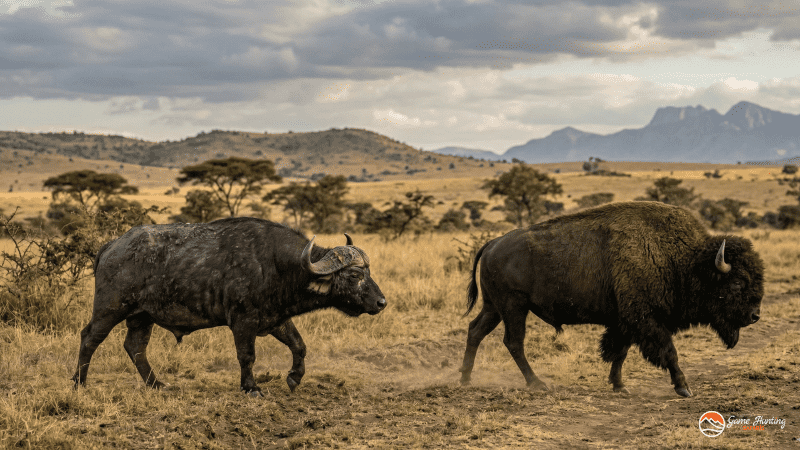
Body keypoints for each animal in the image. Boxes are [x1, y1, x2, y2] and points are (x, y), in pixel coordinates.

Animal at [73, 217, 386, 395]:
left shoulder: (276, 319)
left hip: (142, 316)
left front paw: (294, 378)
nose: (381, 302)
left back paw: (156, 384)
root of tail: (111, 245)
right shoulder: (243, 322)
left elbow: (299, 345)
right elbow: (247, 356)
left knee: (135, 347)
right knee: (89, 338)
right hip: (110, 309)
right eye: (355, 275)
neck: (278, 265)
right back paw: (79, 383)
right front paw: (251, 387)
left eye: (369, 272)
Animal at [459, 201, 764, 397]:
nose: (754, 316)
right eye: (738, 281)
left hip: (494, 308)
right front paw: (684, 387)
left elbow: (620, 352)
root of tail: (492, 243)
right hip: (514, 307)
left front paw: (619, 386)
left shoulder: (625, 321)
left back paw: (465, 379)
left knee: (475, 331)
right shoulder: (646, 320)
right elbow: (669, 351)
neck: (684, 261)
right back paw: (537, 384)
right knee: (514, 342)